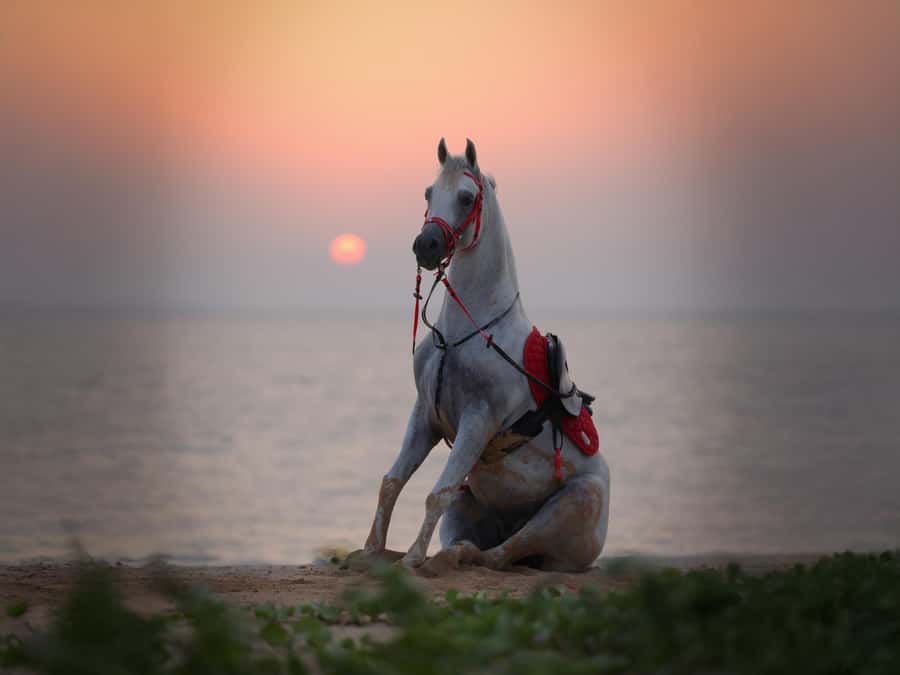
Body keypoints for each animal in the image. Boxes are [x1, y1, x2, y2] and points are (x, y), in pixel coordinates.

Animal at [362, 138, 610, 572]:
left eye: (466, 197)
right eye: (428, 193)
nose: (425, 245)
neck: (467, 330)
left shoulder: (478, 420)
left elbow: (437, 492)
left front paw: (412, 559)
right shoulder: (425, 414)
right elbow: (392, 482)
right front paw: (369, 551)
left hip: (573, 503)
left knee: (503, 553)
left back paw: (453, 557)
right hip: (470, 503)